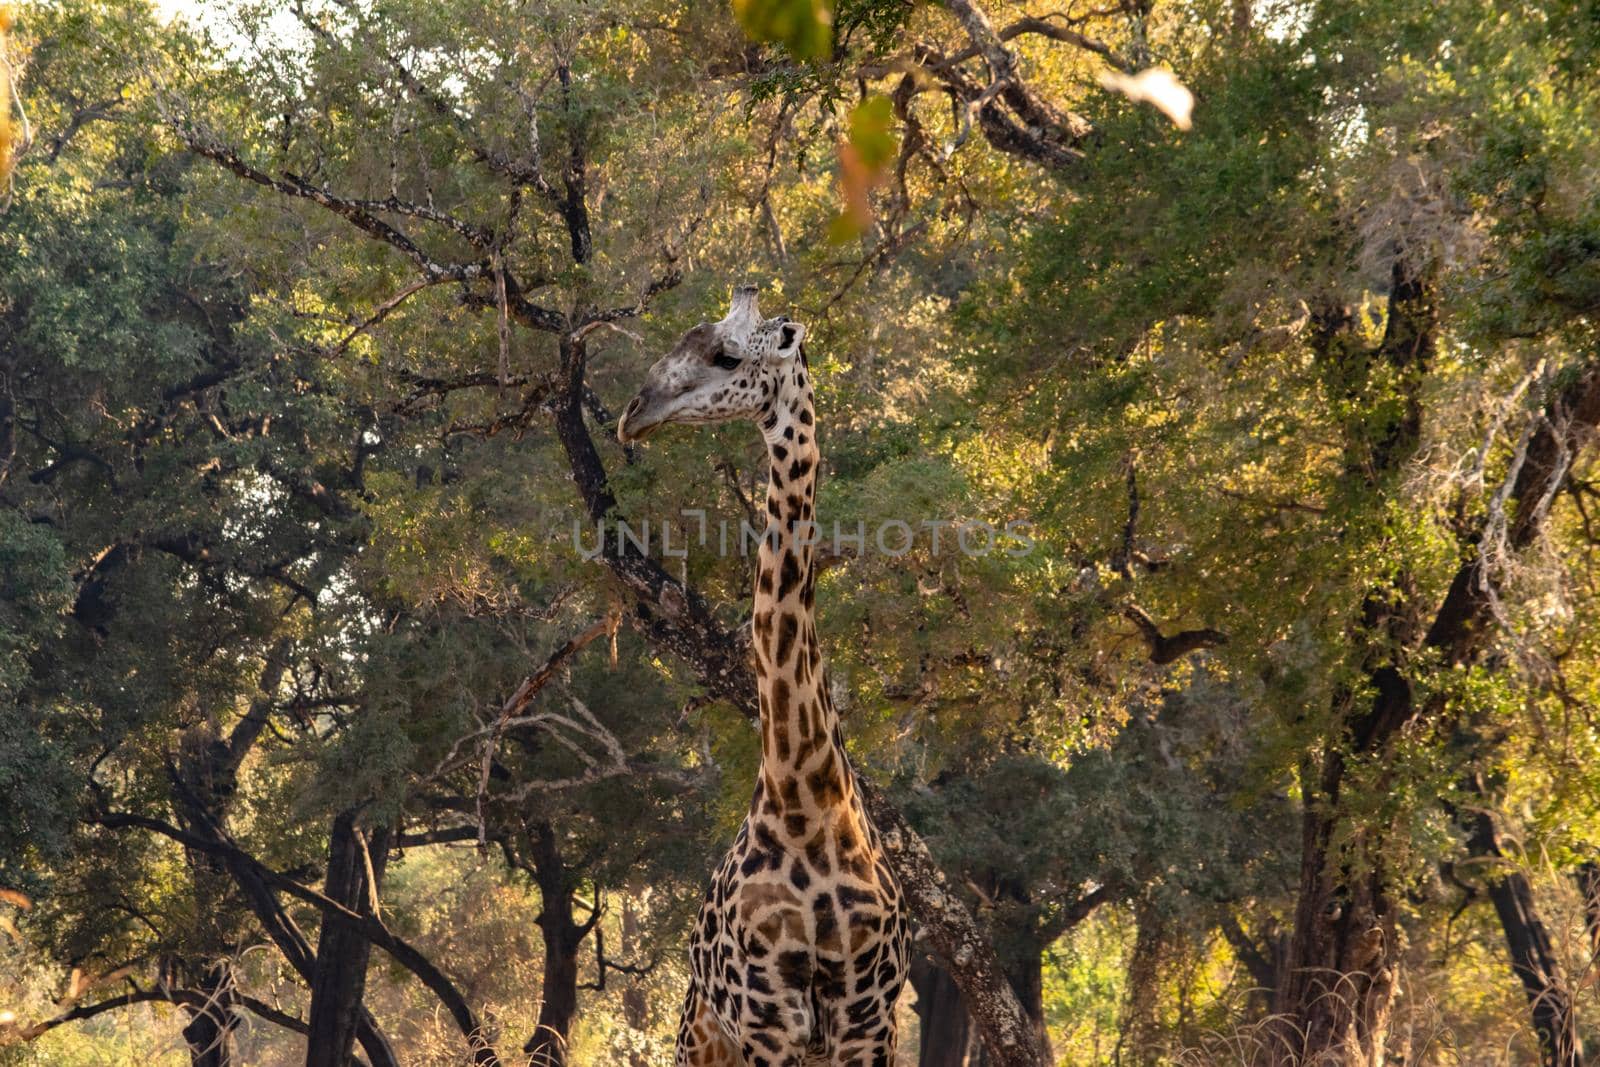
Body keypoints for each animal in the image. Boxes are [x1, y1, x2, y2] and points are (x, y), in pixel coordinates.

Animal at [614, 286, 915, 1067]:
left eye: (726, 356)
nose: (633, 413)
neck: (804, 799)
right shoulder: (767, 1023)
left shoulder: (868, 1024)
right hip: (701, 1038)